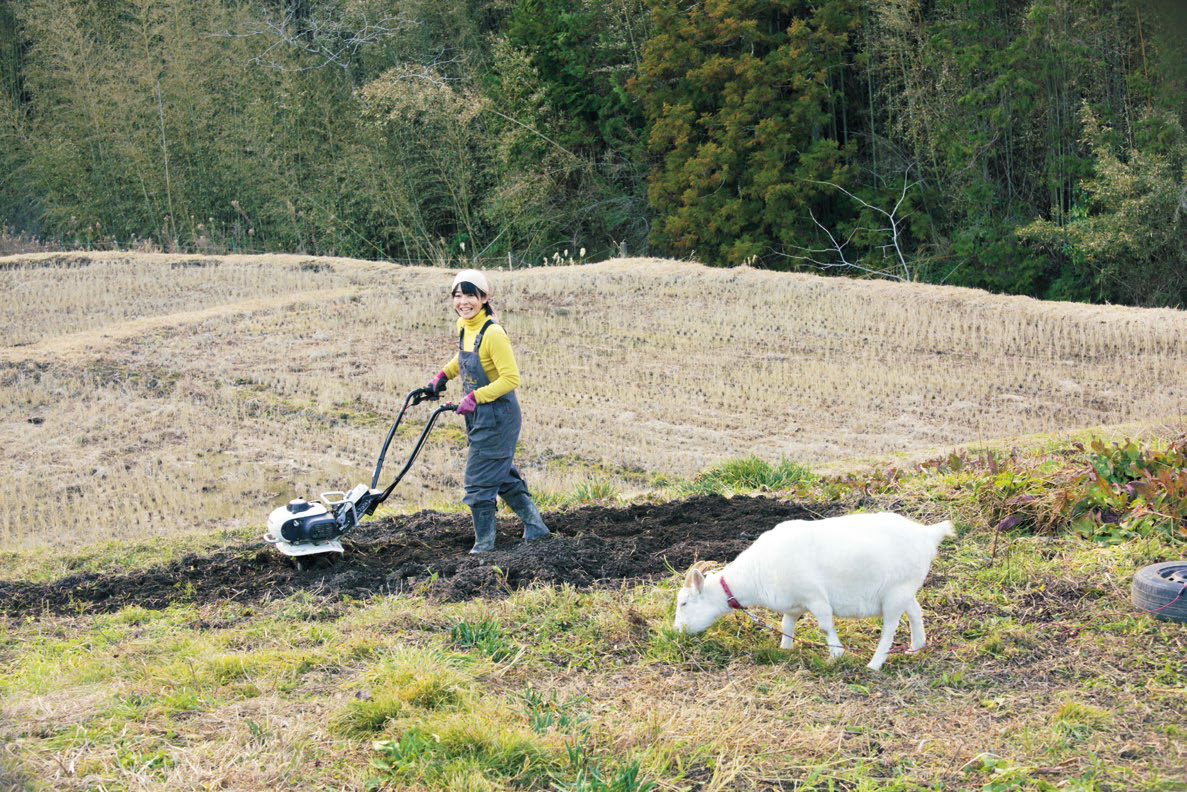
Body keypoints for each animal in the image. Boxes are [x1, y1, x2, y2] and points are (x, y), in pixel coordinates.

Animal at [678, 515, 954, 669]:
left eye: (683, 603)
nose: (675, 633)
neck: (756, 571)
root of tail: (927, 535)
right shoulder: (793, 603)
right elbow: (787, 625)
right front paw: (784, 649)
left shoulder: (815, 597)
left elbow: (824, 626)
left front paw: (836, 655)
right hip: (904, 588)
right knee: (915, 611)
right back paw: (917, 646)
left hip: (894, 594)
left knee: (890, 628)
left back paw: (875, 663)